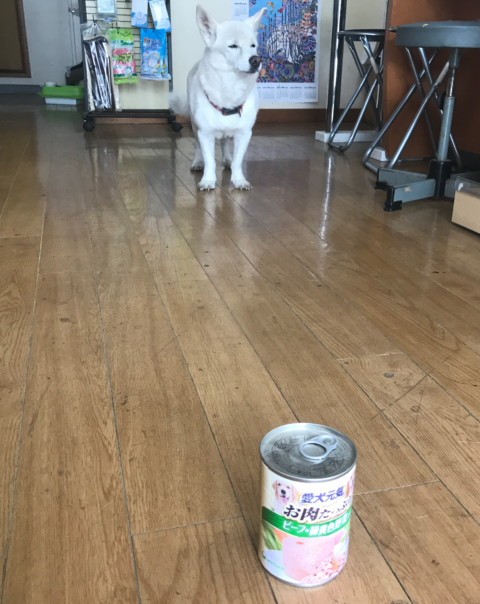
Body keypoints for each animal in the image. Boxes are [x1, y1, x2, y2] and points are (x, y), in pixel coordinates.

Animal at [170, 5, 266, 191]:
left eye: (253, 46)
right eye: (233, 46)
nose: (256, 60)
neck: (231, 86)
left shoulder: (244, 134)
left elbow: (237, 161)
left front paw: (238, 180)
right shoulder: (205, 133)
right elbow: (210, 161)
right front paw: (208, 180)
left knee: (225, 143)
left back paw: (227, 158)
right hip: (195, 124)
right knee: (198, 145)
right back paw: (197, 162)